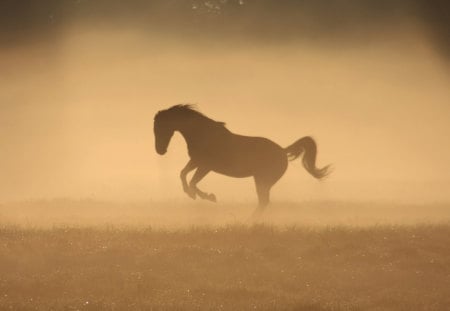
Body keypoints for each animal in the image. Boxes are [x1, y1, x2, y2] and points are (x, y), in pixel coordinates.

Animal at [153, 105, 328, 214]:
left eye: (161, 127)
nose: (160, 151)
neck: (203, 134)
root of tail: (283, 151)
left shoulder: (206, 166)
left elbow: (193, 182)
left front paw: (207, 196)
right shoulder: (196, 162)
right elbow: (183, 174)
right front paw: (192, 194)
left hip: (262, 180)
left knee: (263, 201)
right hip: (262, 181)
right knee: (263, 201)